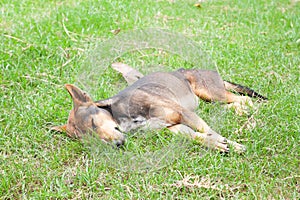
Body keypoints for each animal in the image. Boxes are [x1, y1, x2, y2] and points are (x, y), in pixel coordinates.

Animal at [52, 66, 268, 153]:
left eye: (93, 123)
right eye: (88, 140)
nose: (117, 145)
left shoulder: (184, 113)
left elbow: (208, 131)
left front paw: (230, 144)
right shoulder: (173, 127)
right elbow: (196, 136)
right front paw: (216, 144)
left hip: (211, 92)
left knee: (243, 99)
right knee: (236, 103)